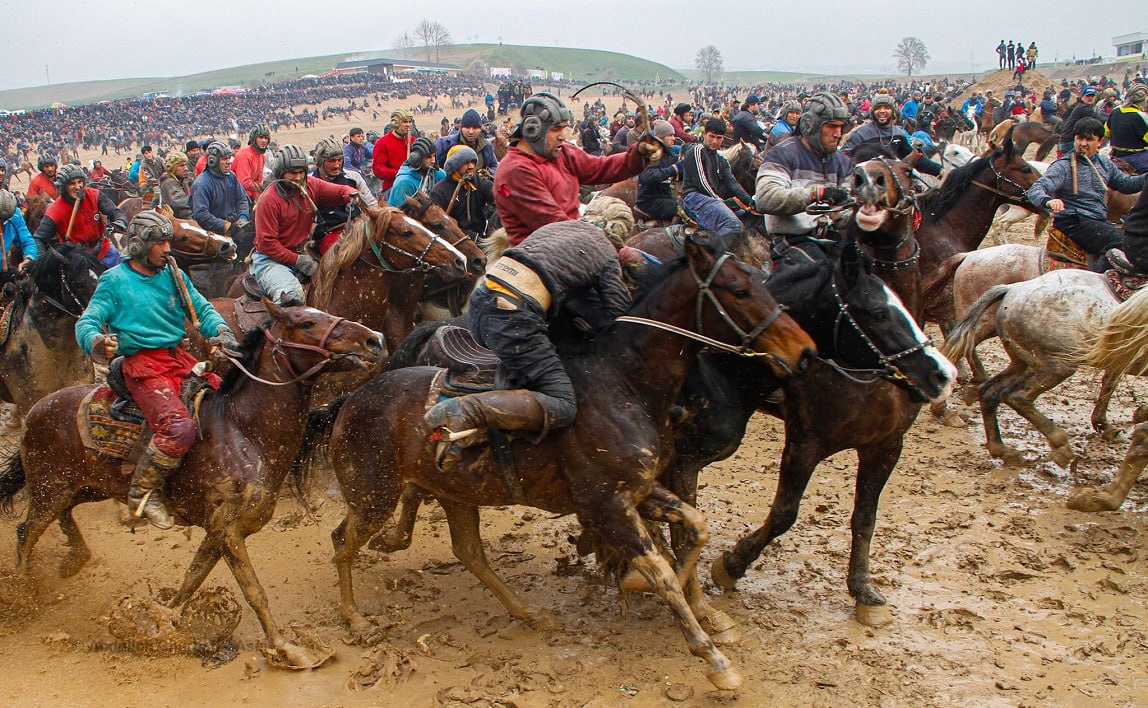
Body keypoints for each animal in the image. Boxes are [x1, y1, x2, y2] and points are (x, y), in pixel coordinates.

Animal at [0, 302, 385, 670]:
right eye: (306, 323)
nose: (374, 340)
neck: (243, 430)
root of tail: (36, 409)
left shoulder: (219, 531)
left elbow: (192, 577)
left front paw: (164, 620)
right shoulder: (228, 530)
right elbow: (254, 591)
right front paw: (286, 649)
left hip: (82, 488)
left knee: (62, 515)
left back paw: (74, 559)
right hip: (50, 487)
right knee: (26, 532)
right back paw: (22, 593)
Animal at [305, 235, 817, 688]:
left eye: (762, 281)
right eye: (739, 290)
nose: (806, 351)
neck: (623, 382)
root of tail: (350, 400)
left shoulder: (638, 490)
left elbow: (694, 527)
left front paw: (664, 594)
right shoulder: (607, 506)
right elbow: (662, 570)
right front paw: (712, 658)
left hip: (456, 494)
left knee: (468, 552)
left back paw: (526, 611)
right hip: (373, 494)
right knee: (342, 542)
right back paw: (353, 617)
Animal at [941, 267, 1138, 465]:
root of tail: (1013, 289)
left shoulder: (1120, 359)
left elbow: (1109, 384)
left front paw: (1105, 425)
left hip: (1021, 361)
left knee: (988, 390)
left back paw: (1001, 448)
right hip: (1058, 365)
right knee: (1016, 396)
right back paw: (1059, 444)